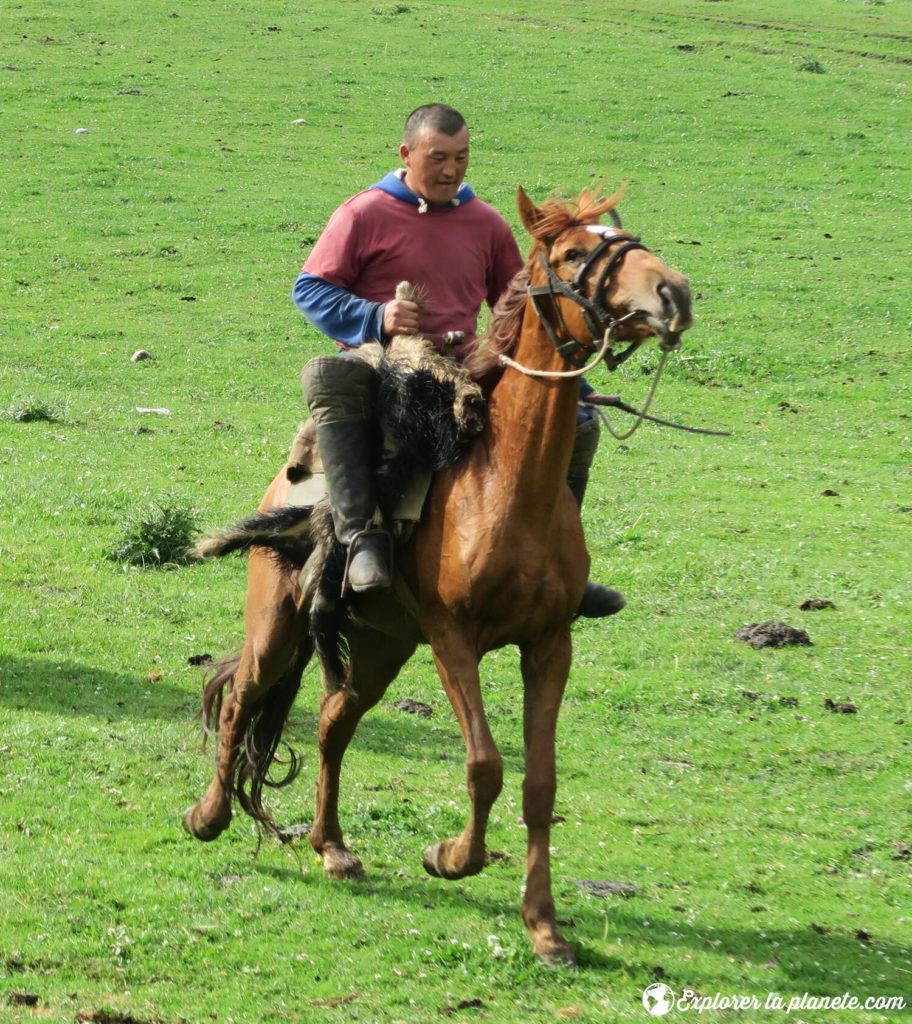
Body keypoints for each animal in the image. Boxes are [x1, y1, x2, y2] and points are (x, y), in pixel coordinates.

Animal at [189, 186, 696, 966]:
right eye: (573, 253)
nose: (674, 293)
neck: (509, 488)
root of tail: (289, 485)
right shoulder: (455, 640)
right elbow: (485, 765)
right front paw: (451, 857)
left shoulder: (550, 644)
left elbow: (539, 782)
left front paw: (545, 926)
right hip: (279, 627)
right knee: (242, 699)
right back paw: (209, 817)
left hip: (382, 645)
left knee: (333, 721)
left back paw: (331, 846)